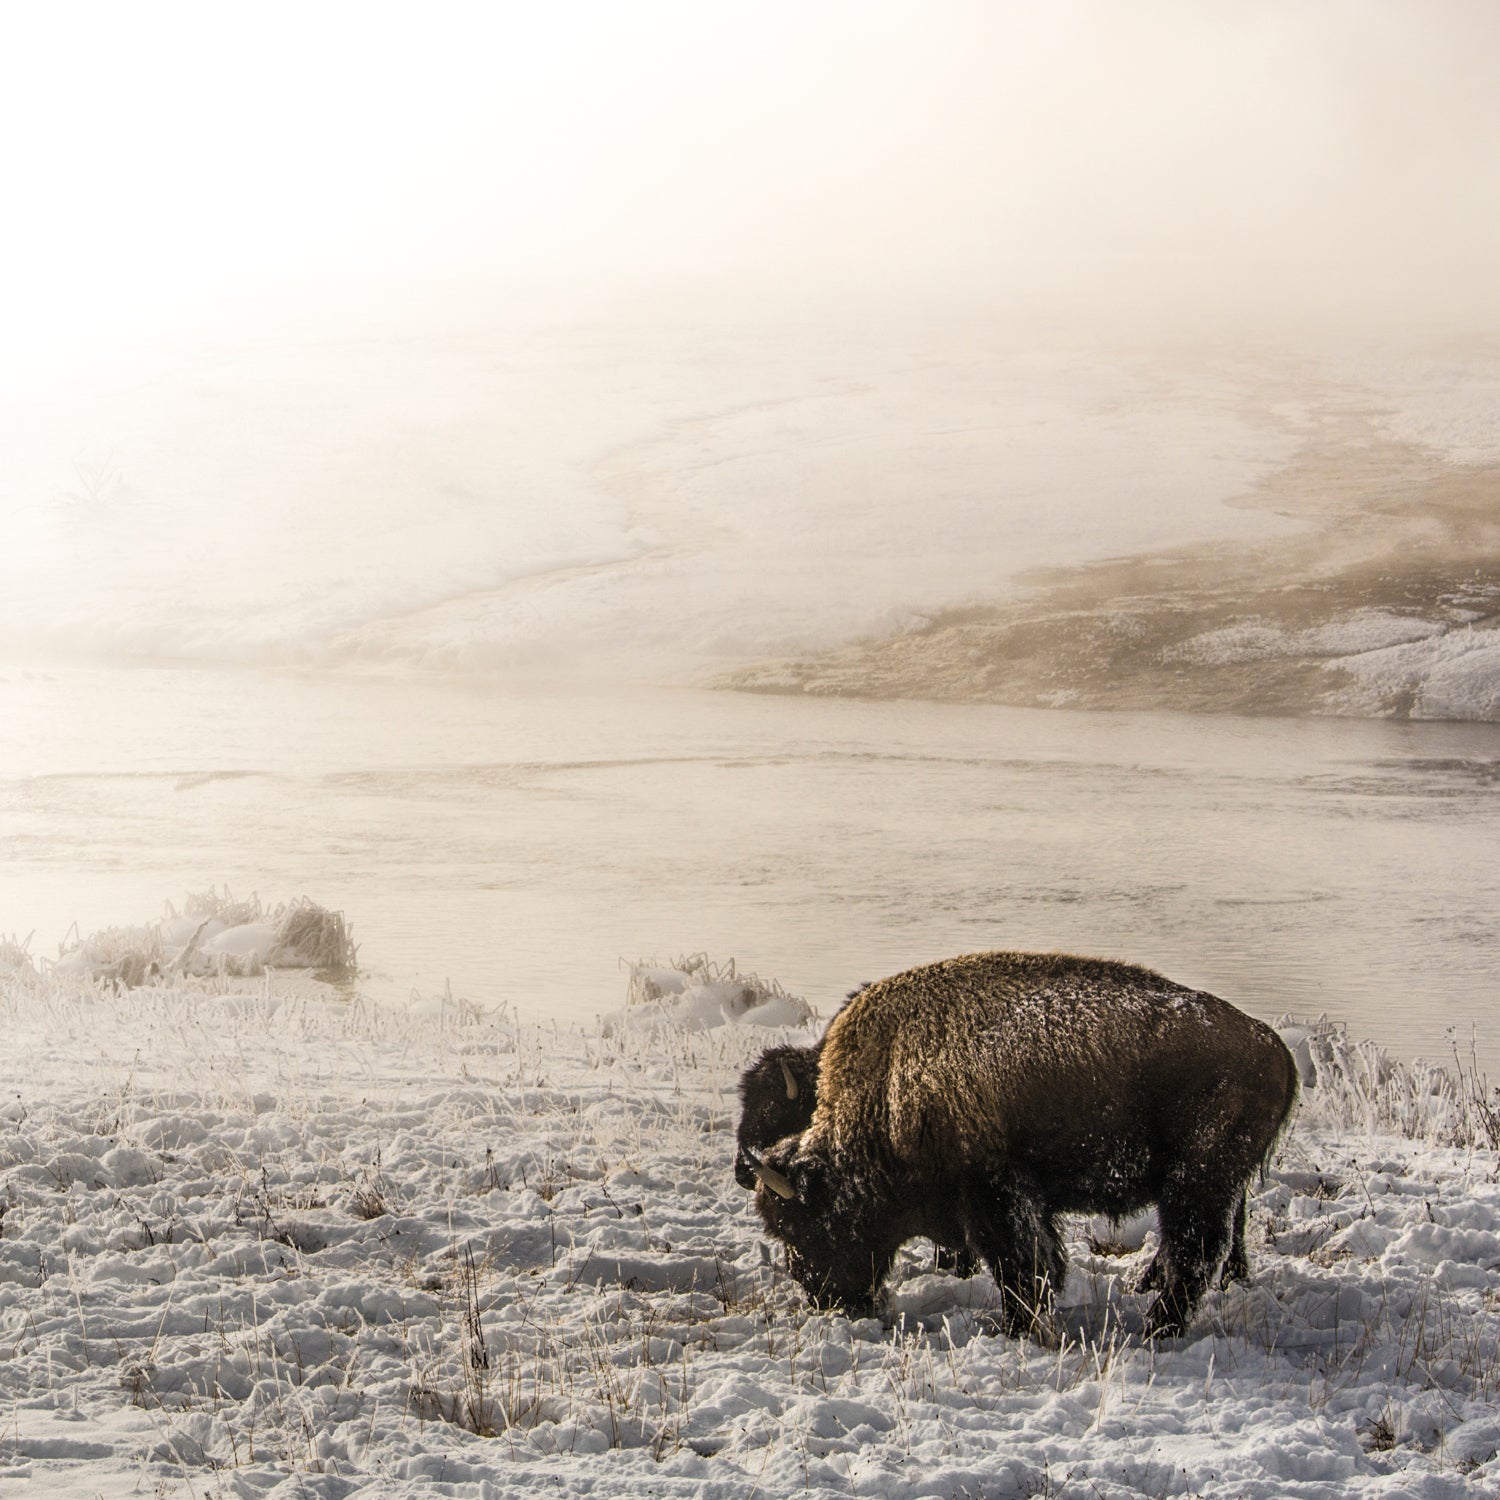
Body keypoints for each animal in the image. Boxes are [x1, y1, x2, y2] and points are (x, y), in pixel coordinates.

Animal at [750, 948, 1302, 1338]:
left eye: (806, 1226)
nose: (825, 1298)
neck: (884, 1095)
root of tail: (1273, 1046)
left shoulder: (996, 1194)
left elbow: (1022, 1268)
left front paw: (1018, 1328)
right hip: (1206, 1188)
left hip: (1198, 1183)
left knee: (1193, 1256)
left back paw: (1155, 1331)